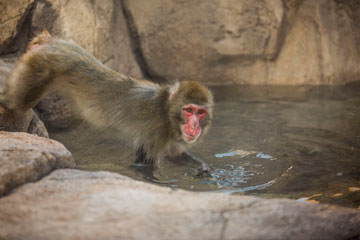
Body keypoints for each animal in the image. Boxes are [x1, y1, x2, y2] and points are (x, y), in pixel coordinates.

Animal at [0, 31, 214, 172]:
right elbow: (143, 166)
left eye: (200, 112)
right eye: (188, 110)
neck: (167, 111)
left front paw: (203, 168)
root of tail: (49, 42)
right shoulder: (155, 131)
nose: (194, 126)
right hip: (39, 66)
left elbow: (174, 154)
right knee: (16, 103)